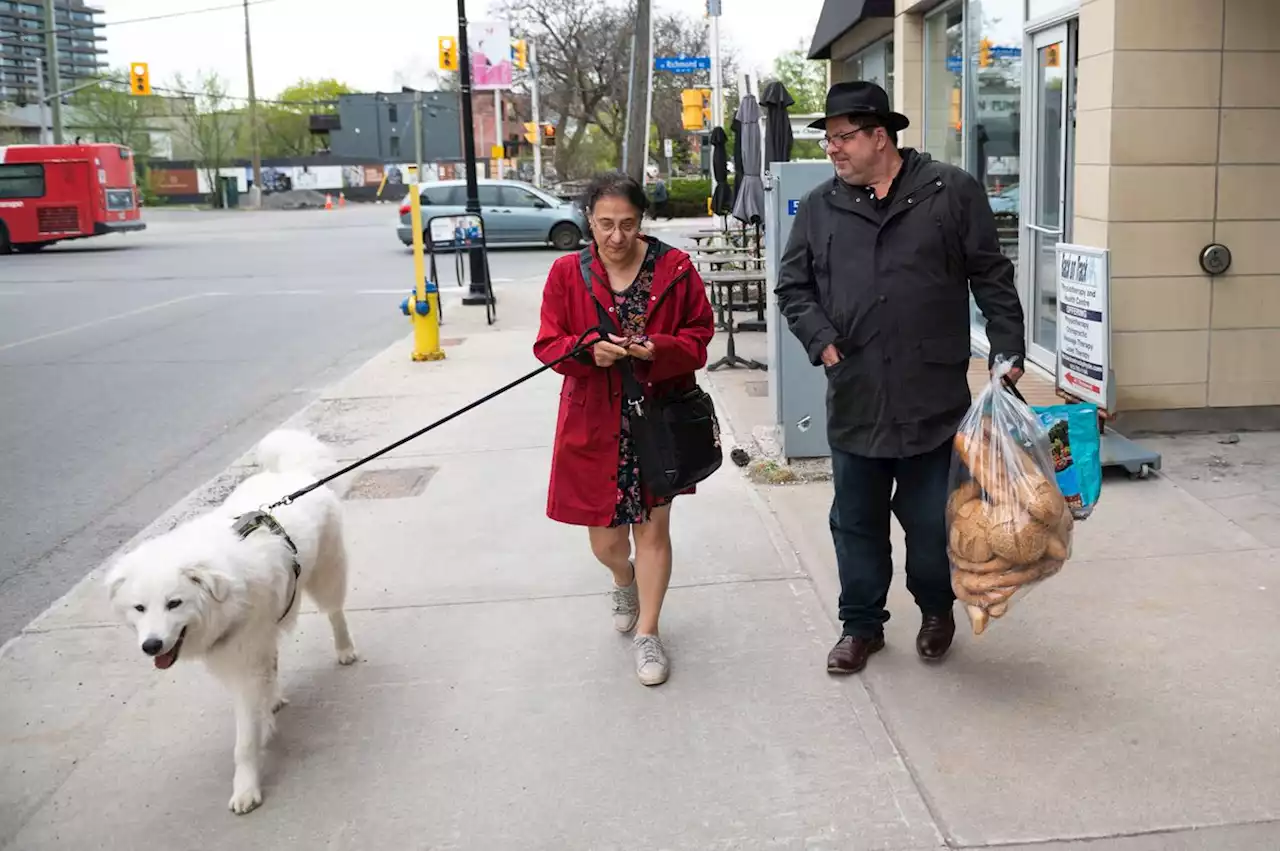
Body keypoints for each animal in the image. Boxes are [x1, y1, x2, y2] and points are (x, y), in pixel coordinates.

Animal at [102, 427, 355, 813]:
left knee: (334, 612)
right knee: (274, 659)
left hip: (326, 575)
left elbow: (244, 741)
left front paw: (246, 787)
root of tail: (293, 474)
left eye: (174, 603)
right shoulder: (244, 653)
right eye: (139, 608)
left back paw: (344, 649)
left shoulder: (244, 660)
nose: (151, 646)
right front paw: (266, 717)